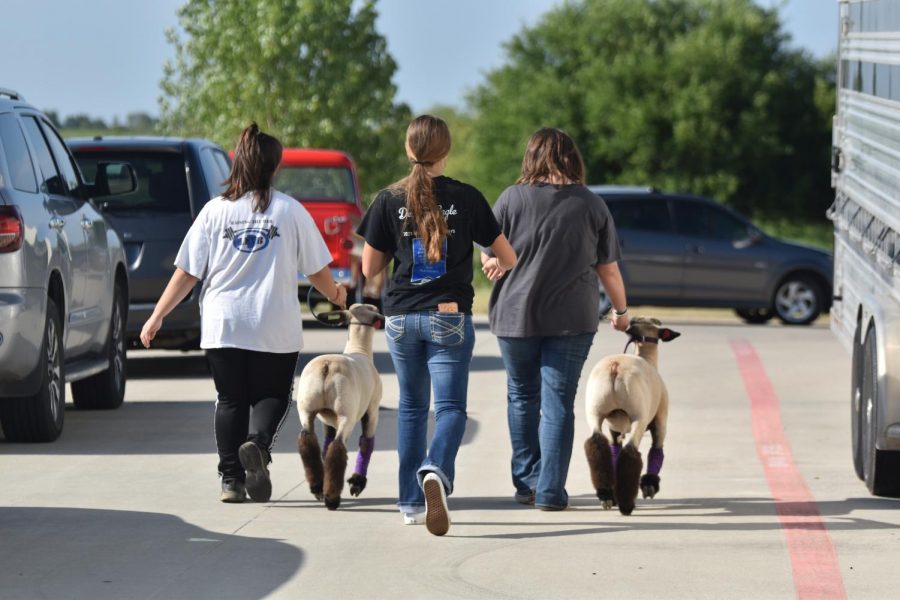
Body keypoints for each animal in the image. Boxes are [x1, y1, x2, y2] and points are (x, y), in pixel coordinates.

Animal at [298, 302, 384, 508]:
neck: (359, 349)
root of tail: (326, 366)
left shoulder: (327, 419)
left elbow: (325, 444)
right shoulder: (372, 411)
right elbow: (366, 443)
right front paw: (357, 484)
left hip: (306, 408)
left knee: (308, 441)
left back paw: (318, 487)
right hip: (347, 414)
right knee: (338, 447)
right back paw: (331, 499)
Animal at [584, 316, 684, 516]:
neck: (647, 358)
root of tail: (615, 366)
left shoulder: (613, 429)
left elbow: (614, 451)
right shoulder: (660, 420)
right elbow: (657, 450)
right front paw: (649, 486)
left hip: (594, 411)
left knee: (597, 444)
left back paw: (606, 495)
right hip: (639, 417)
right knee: (630, 452)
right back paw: (626, 504)